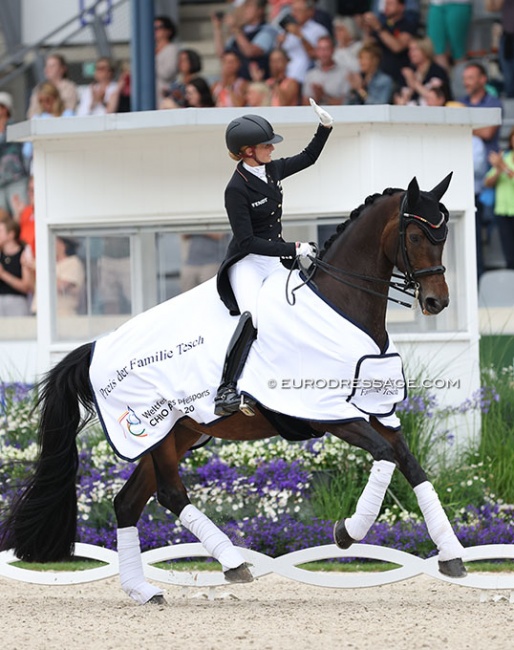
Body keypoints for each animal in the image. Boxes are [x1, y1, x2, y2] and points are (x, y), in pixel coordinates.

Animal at [0, 172, 466, 604]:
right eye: (416, 235)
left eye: (444, 235)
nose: (437, 302)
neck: (341, 304)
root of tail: (96, 346)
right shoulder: (329, 414)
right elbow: (386, 456)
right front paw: (347, 531)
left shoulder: (375, 410)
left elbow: (411, 465)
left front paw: (451, 554)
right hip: (158, 433)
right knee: (170, 493)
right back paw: (232, 562)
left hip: (177, 434)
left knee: (127, 502)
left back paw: (143, 590)